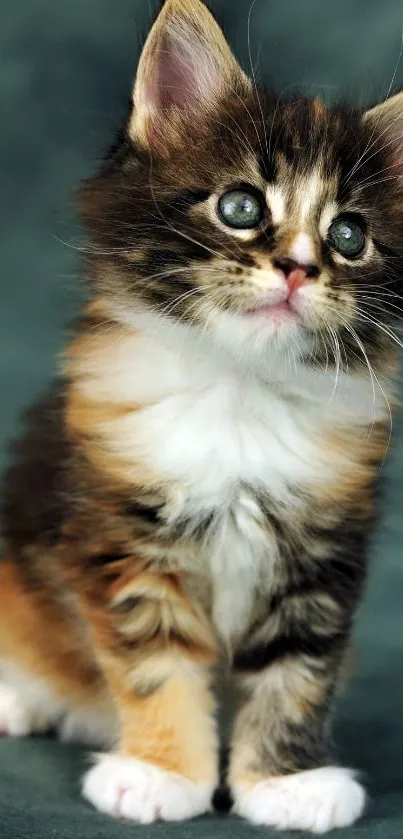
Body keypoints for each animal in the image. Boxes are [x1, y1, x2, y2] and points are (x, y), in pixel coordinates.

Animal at [0, 0, 403, 832]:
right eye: (240, 206)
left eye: (349, 235)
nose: (299, 267)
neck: (239, 396)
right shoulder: (125, 539)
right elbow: (157, 667)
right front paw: (161, 772)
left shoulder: (320, 556)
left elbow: (296, 675)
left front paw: (285, 781)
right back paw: (20, 695)